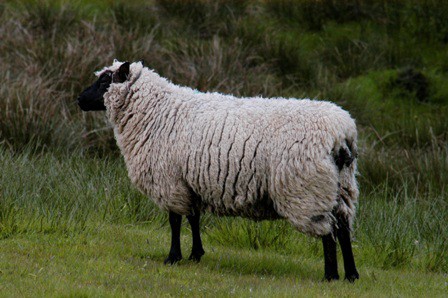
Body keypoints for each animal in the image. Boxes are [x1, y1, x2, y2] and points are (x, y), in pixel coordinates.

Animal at [78, 60, 360, 282]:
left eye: (104, 80)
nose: (79, 99)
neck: (156, 111)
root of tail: (342, 134)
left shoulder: (170, 180)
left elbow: (175, 221)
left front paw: (173, 257)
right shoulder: (188, 182)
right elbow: (193, 218)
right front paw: (195, 255)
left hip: (308, 189)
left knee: (329, 232)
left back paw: (330, 276)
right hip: (342, 187)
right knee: (344, 228)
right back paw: (351, 276)